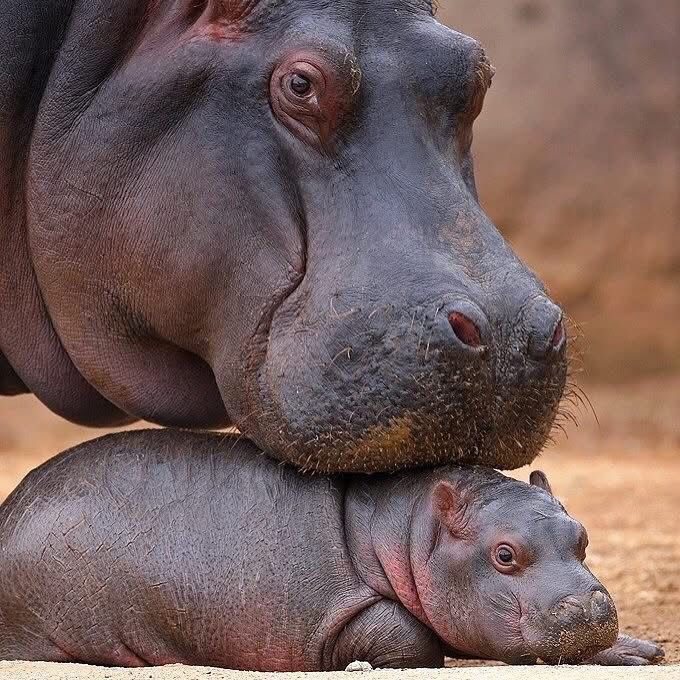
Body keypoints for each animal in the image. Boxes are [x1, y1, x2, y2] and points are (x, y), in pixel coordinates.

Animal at [0, 430, 663, 669]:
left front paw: (637, 650)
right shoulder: (340, 612)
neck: (406, 528)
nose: (587, 608)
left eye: (582, 536)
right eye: (504, 554)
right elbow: (414, 637)